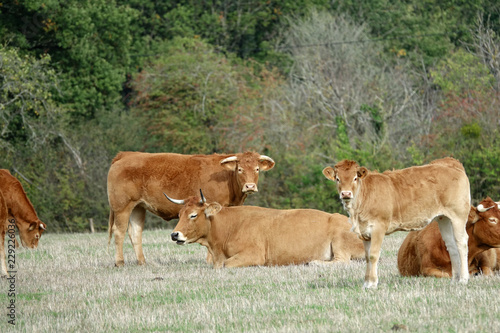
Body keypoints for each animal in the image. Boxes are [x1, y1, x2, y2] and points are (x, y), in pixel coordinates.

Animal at [107, 152, 276, 266]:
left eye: (257, 169)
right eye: (240, 169)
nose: (250, 186)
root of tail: (125, 155)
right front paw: (210, 260)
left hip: (138, 207)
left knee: (135, 232)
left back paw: (142, 262)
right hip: (122, 206)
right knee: (119, 232)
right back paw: (120, 262)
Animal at [166, 192, 366, 268]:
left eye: (193, 215)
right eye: (180, 214)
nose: (174, 234)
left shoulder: (253, 255)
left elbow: (226, 264)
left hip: (340, 241)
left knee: (342, 260)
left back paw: (315, 262)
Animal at [322, 157, 470, 286]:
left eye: (355, 178)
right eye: (337, 179)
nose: (346, 194)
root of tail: (450, 163)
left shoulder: (378, 227)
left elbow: (373, 256)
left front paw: (372, 283)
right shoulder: (364, 232)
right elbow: (367, 257)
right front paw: (367, 283)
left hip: (458, 215)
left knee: (461, 242)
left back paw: (463, 279)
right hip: (444, 219)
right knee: (451, 245)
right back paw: (455, 279)